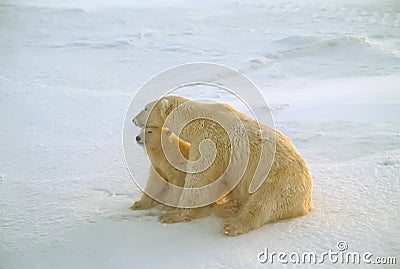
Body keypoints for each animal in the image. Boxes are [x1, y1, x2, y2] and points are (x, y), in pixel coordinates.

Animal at [131, 94, 312, 234]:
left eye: (145, 108)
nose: (133, 119)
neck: (198, 118)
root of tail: (307, 201)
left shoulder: (211, 142)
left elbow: (199, 178)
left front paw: (171, 215)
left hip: (278, 181)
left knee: (263, 203)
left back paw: (233, 225)